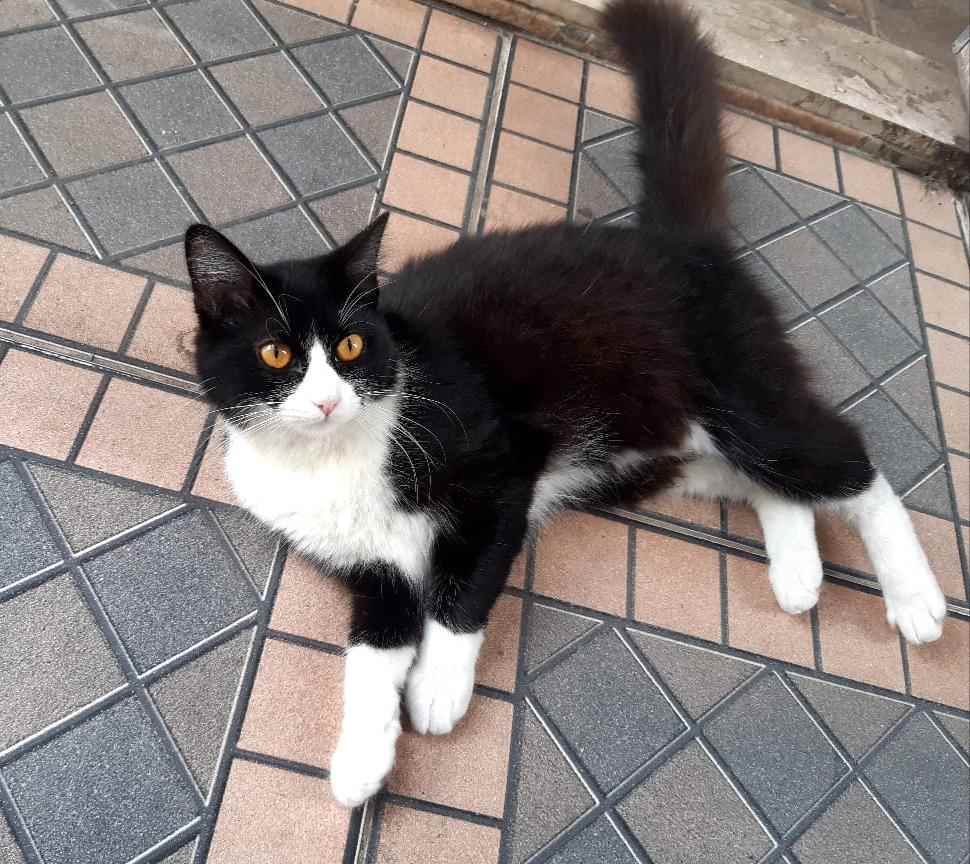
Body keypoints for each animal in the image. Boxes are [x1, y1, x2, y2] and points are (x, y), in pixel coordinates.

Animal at [185, 0, 947, 808]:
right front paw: (361, 758)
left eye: (354, 347)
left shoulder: (500, 472)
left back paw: (915, 599)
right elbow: (371, 653)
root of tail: (682, 244)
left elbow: (461, 594)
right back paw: (799, 572)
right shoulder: (372, 571)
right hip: (652, 458)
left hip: (740, 398)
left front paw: (437, 690)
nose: (329, 401)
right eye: (277, 355)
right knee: (761, 483)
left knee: (840, 459)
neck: (332, 459)